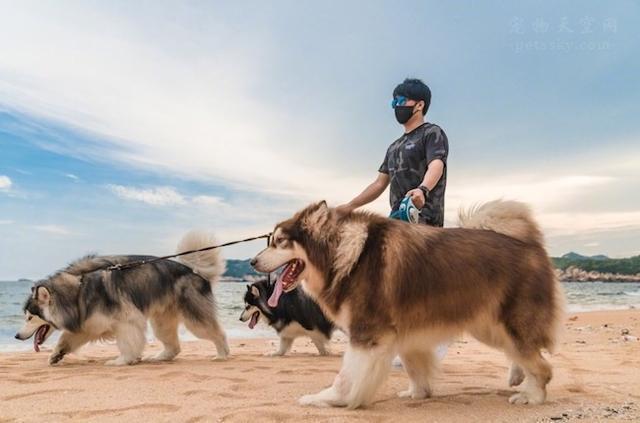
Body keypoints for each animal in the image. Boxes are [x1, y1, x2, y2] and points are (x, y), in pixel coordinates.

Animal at [15, 230, 231, 366]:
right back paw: (160, 357)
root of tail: (195, 271)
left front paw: (122, 360)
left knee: (218, 333)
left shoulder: (128, 320)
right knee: (174, 347)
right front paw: (56, 355)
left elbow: (127, 343)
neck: (78, 289)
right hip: (162, 322)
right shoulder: (88, 322)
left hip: (194, 319)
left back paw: (222, 355)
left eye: (30, 317)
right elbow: (65, 338)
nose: (16, 336)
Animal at [254, 202, 564, 410]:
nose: (253, 261)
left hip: (510, 326)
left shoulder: (366, 333)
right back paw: (518, 377)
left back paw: (532, 395)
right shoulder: (406, 333)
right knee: (525, 356)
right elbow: (415, 367)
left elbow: (346, 378)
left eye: (279, 242)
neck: (344, 254)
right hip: (489, 328)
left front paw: (330, 399)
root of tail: (530, 245)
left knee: (542, 366)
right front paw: (418, 393)